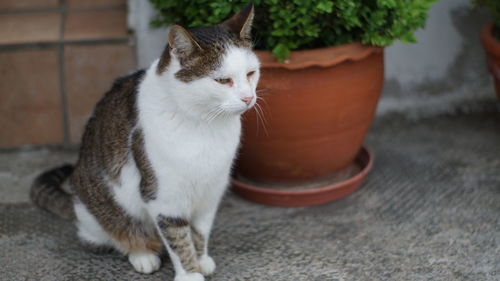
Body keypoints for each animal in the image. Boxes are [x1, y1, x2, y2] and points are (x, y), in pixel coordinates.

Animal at [29, 4, 260, 280]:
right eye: (223, 80)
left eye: (251, 73)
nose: (248, 98)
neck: (204, 124)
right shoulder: (164, 198)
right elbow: (179, 240)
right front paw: (190, 274)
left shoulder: (211, 192)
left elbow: (199, 232)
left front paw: (202, 260)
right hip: (98, 214)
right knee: (115, 235)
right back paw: (142, 254)